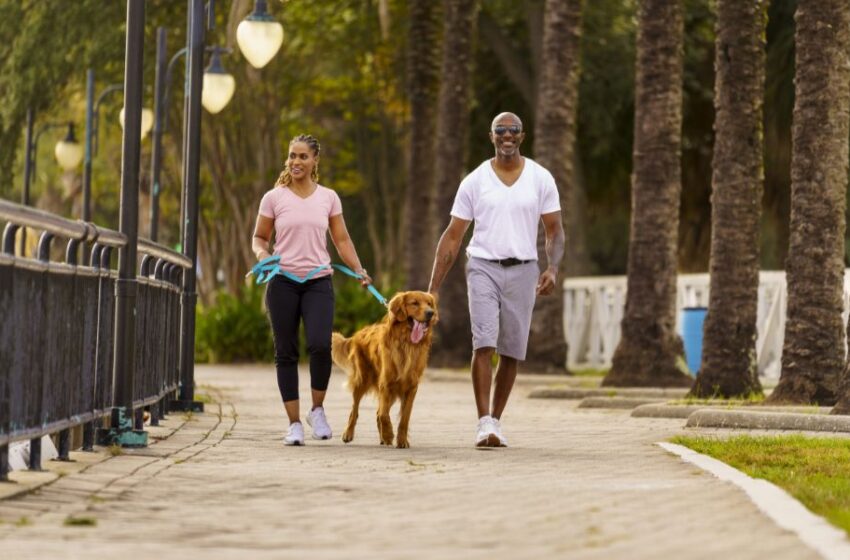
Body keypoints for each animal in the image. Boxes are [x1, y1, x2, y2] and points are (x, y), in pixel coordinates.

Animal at [330, 290, 438, 448]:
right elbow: (383, 414)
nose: (430, 313)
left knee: (377, 412)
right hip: (362, 380)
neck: (407, 345)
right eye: (414, 303)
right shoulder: (386, 384)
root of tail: (359, 333)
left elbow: (404, 418)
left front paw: (401, 440)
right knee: (355, 411)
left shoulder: (411, 388)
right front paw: (388, 435)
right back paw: (348, 434)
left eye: (429, 304)